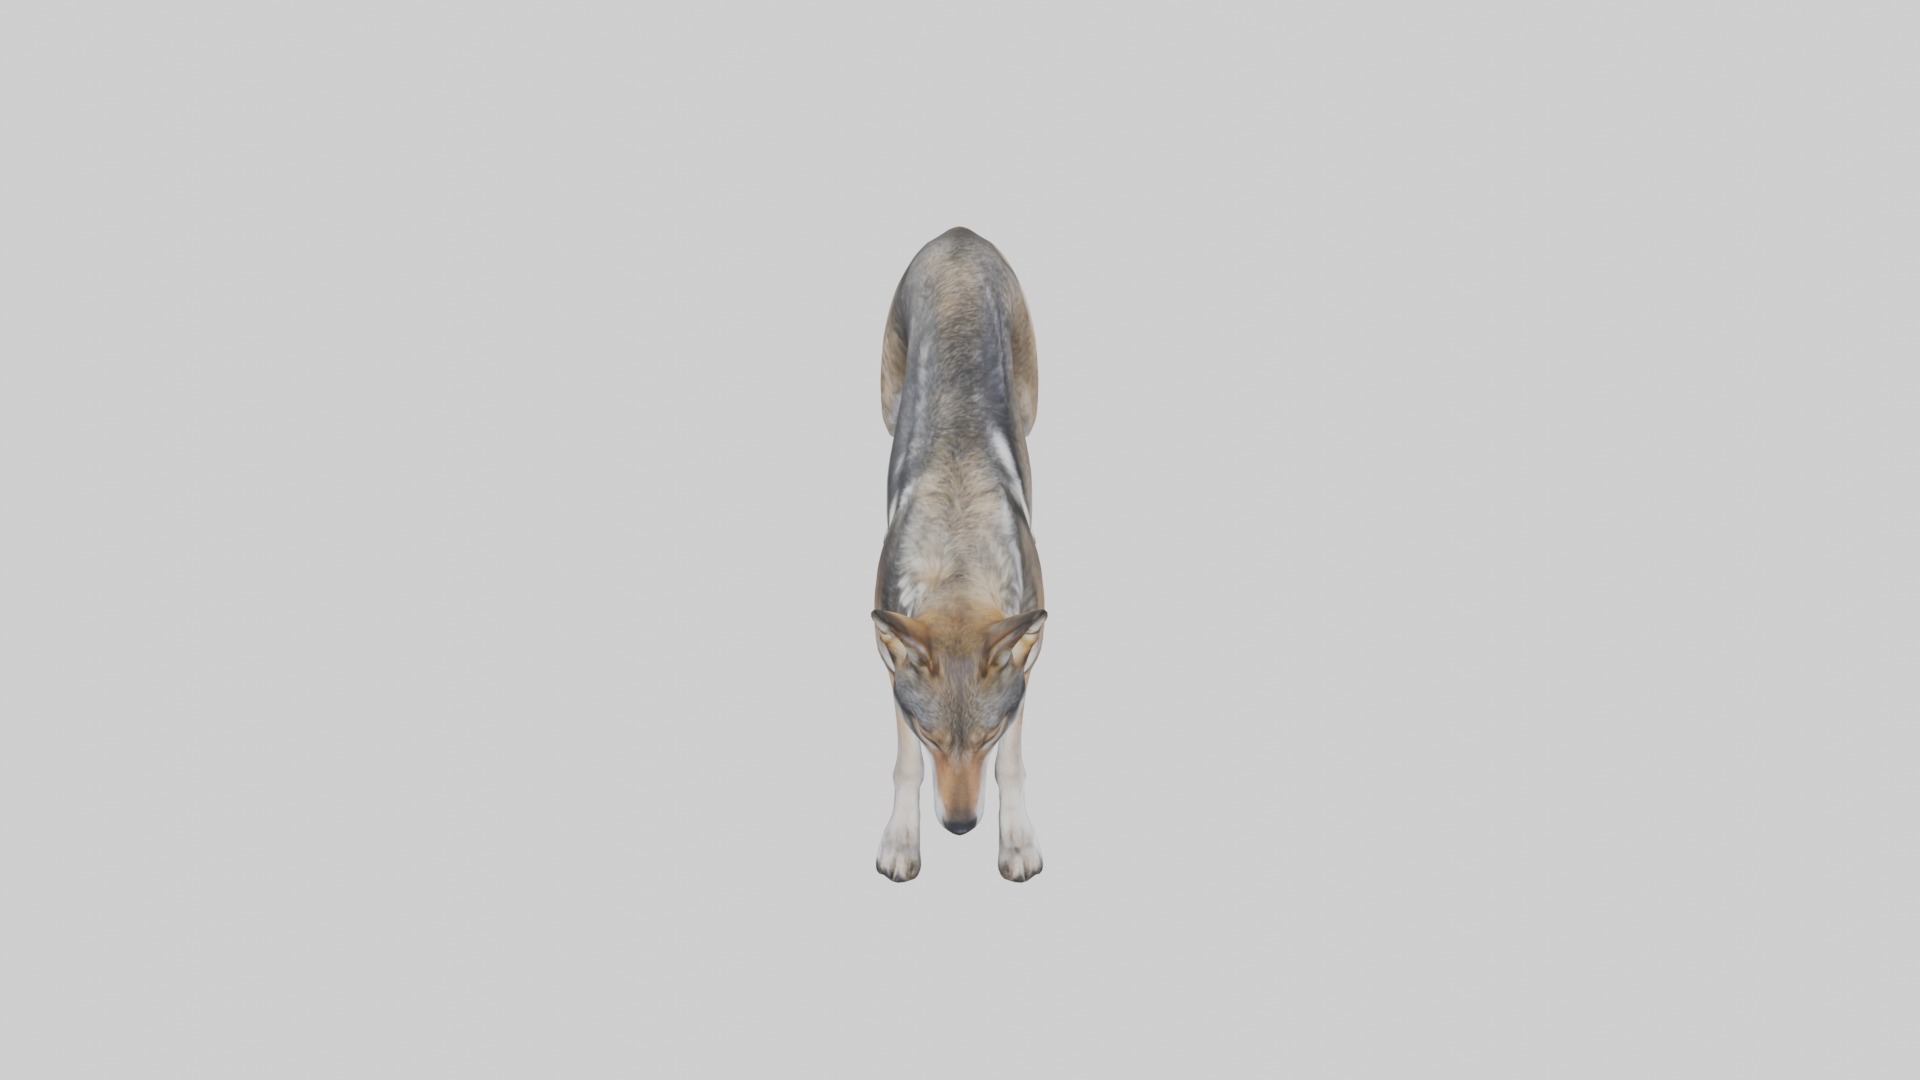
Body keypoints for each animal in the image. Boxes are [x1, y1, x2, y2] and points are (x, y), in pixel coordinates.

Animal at [872, 227, 1047, 883]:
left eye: (986, 735)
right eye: (932, 736)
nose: (961, 827)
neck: (957, 554)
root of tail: (958, 237)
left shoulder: (1028, 666)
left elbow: (1012, 765)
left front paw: (1017, 843)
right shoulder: (890, 668)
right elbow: (905, 766)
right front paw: (901, 843)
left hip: (1030, 400)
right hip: (887, 399)